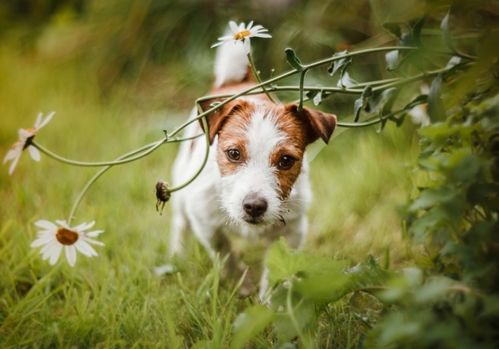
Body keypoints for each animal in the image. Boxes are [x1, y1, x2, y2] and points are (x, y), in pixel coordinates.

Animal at [166, 34, 338, 298]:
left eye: (286, 160)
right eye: (234, 154)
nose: (254, 207)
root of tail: (235, 82)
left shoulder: (293, 230)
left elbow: (277, 268)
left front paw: (270, 301)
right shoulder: (205, 222)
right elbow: (225, 255)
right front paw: (242, 284)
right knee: (180, 224)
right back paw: (177, 257)